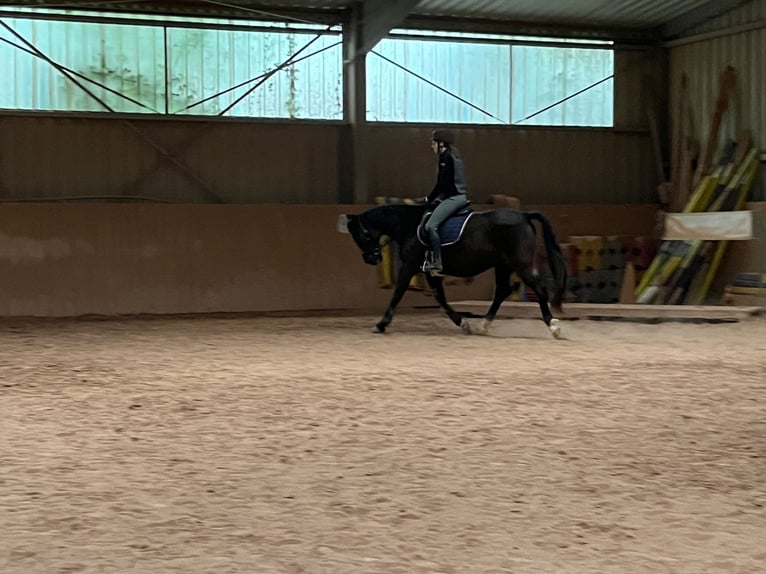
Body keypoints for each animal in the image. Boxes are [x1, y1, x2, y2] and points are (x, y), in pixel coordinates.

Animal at [342, 202, 568, 338]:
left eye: (358, 235)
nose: (372, 258)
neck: (408, 225)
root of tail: (523, 215)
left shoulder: (410, 266)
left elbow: (397, 293)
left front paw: (381, 324)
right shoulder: (429, 272)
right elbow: (440, 298)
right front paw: (462, 323)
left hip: (520, 264)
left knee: (539, 290)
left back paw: (554, 326)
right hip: (503, 265)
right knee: (502, 291)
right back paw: (483, 325)